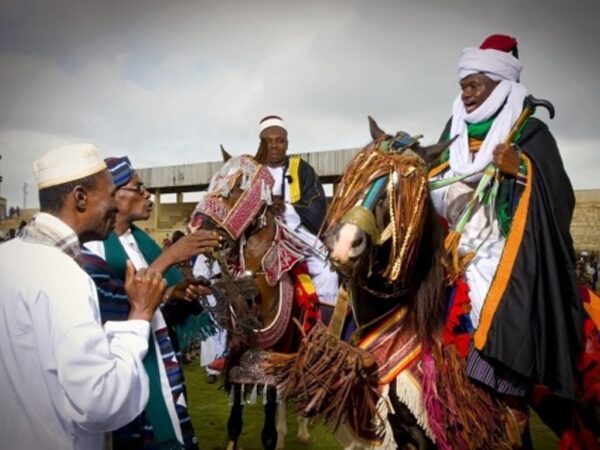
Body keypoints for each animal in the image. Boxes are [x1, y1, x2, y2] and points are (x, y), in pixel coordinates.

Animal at [190, 148, 316, 450]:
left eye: (239, 185)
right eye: (213, 180)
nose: (199, 227)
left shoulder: (267, 367)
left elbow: (266, 432)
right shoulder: (238, 362)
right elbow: (234, 423)